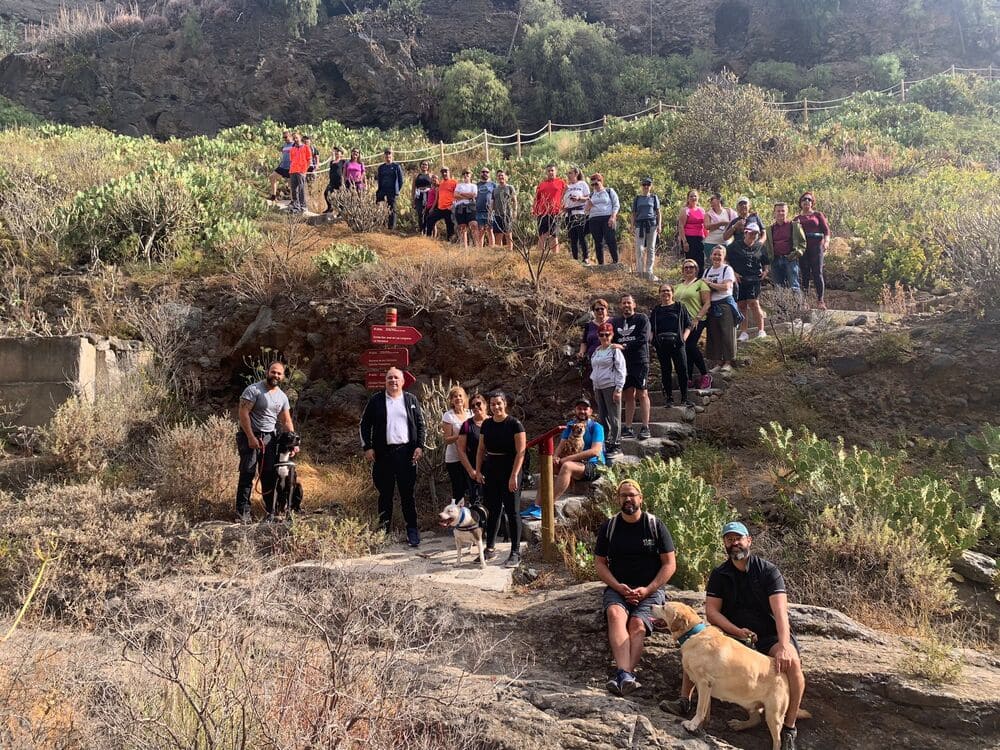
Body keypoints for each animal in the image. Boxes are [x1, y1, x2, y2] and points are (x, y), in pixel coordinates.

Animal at [652, 604, 808, 750]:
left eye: (664, 606)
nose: (651, 605)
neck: (692, 633)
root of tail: (784, 674)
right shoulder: (705, 688)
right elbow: (706, 711)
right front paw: (701, 727)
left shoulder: (704, 683)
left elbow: (700, 709)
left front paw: (692, 724)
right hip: (748, 700)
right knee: (756, 719)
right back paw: (739, 725)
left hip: (773, 715)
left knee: (777, 740)